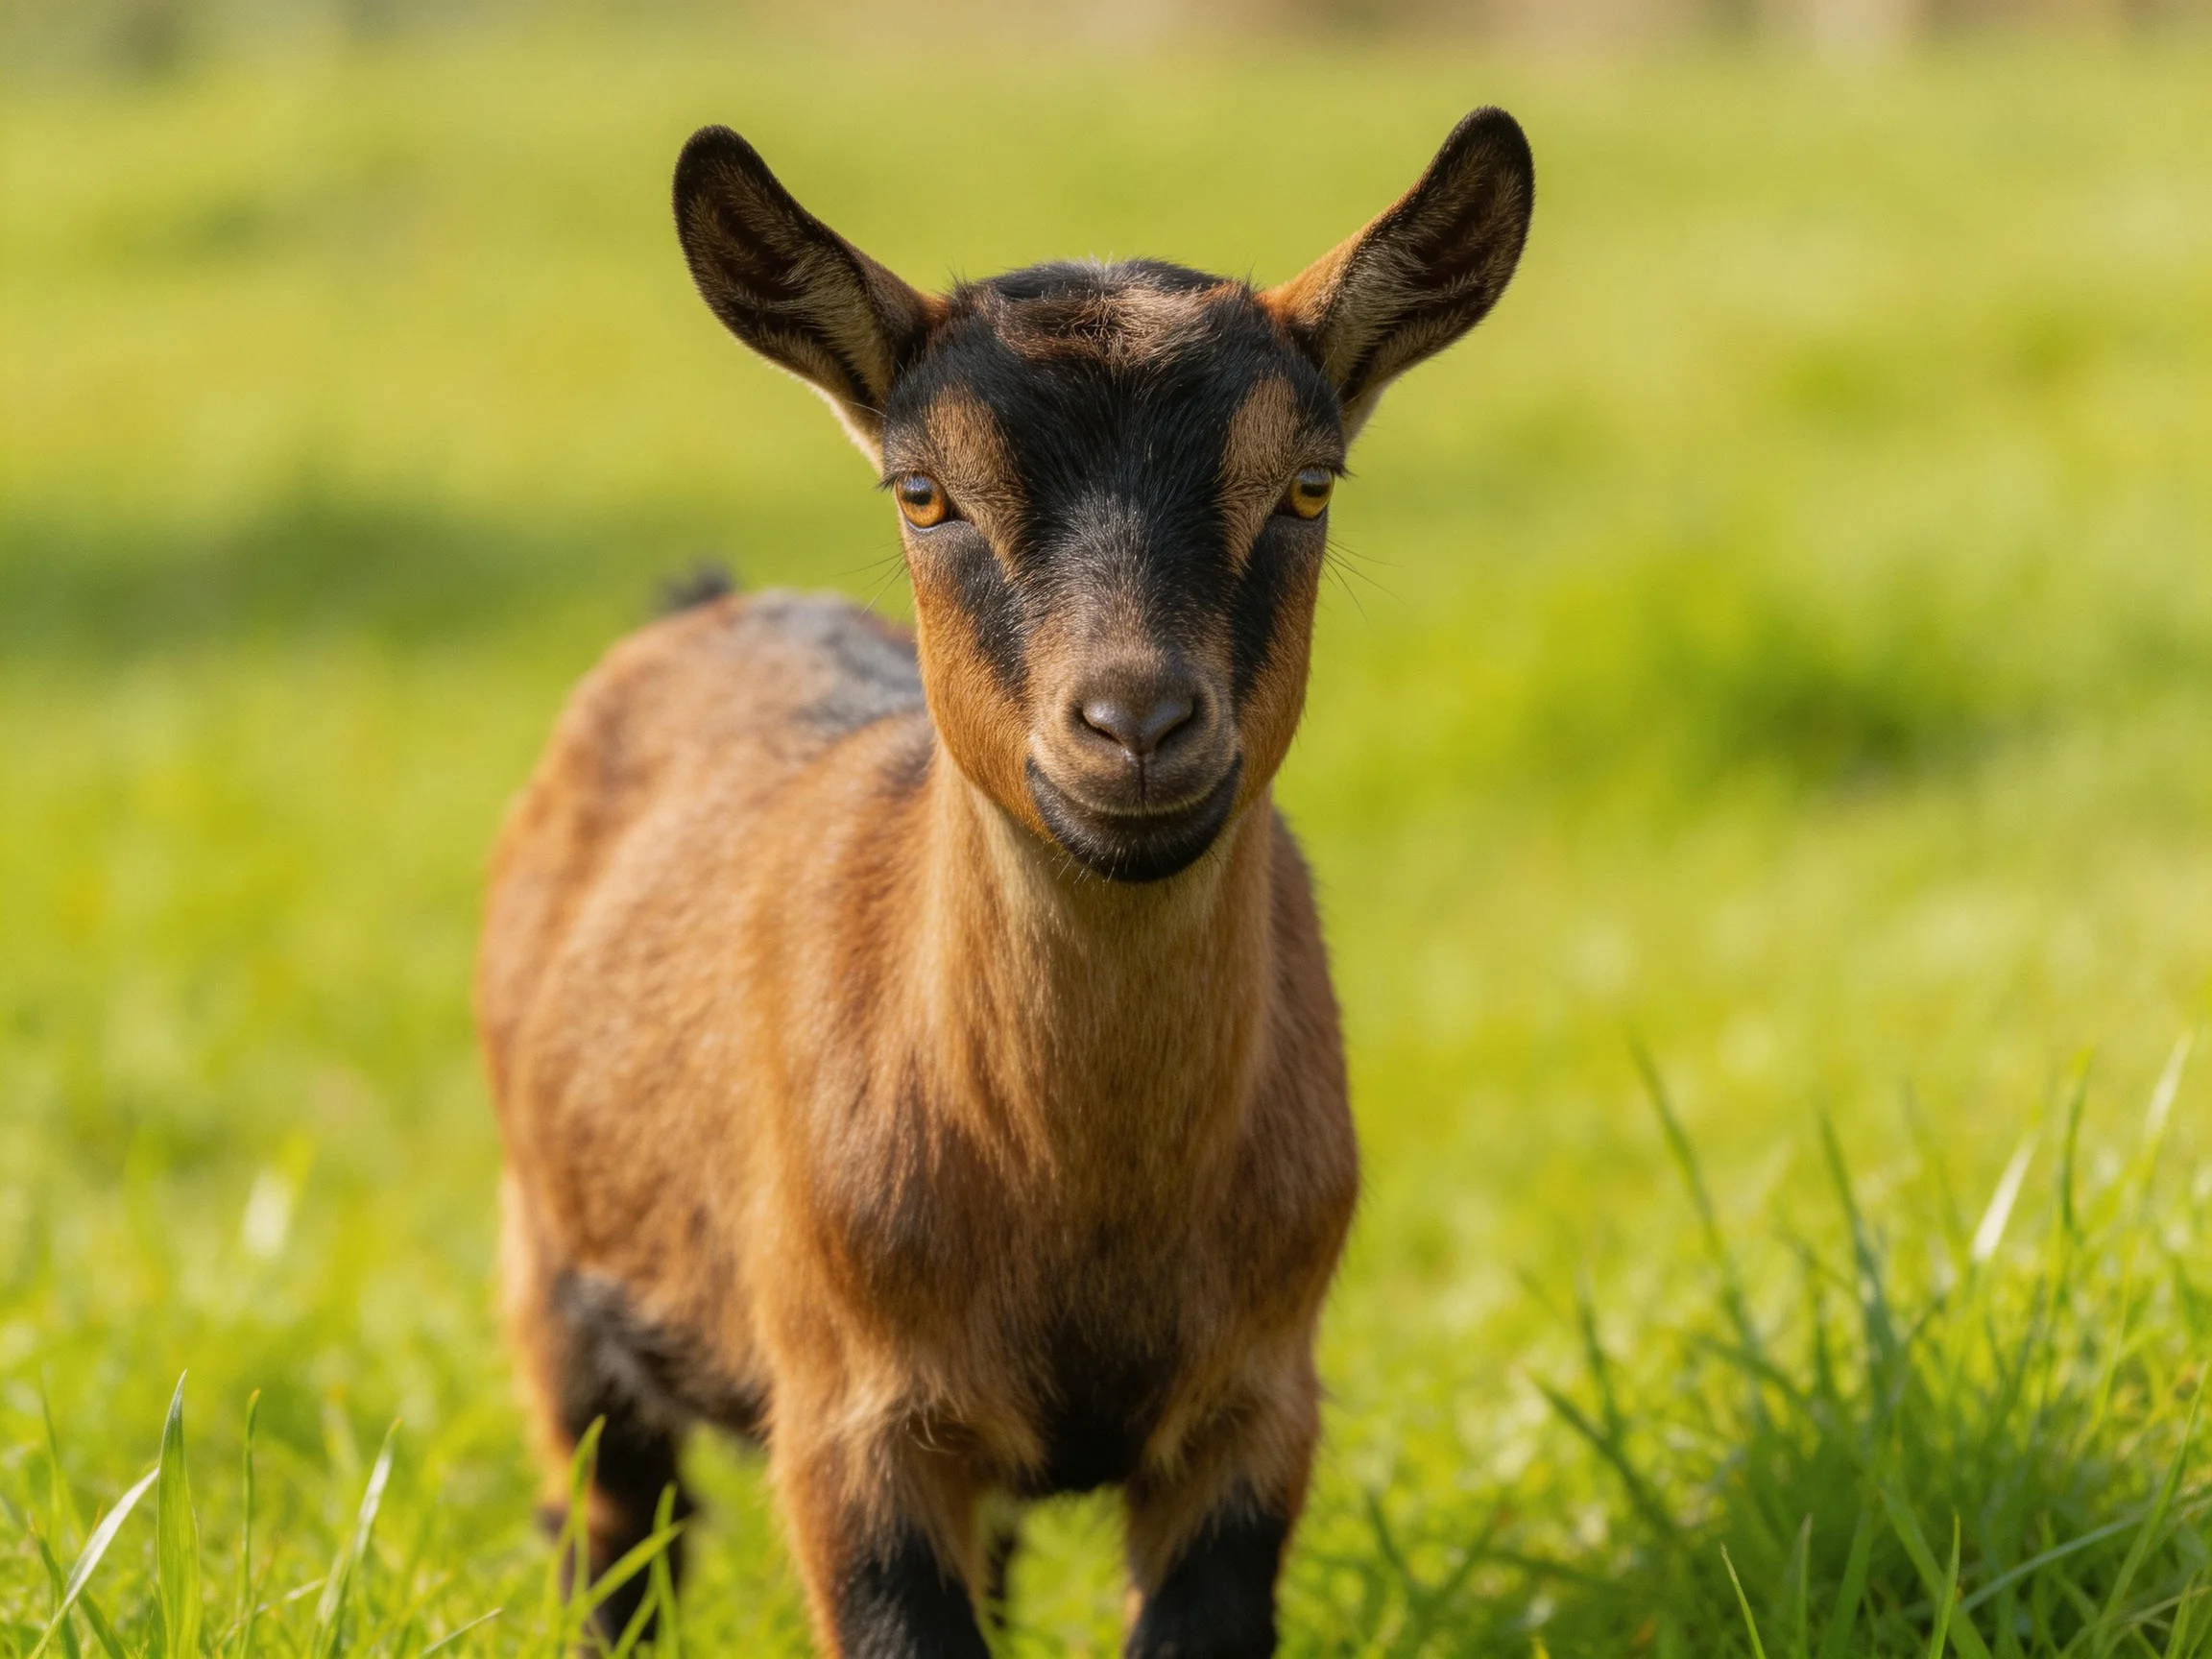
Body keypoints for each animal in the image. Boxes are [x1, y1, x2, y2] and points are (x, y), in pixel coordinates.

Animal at [478, 108, 1532, 1657]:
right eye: (925, 493)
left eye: (1308, 484)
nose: (1136, 723)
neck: (1081, 1206)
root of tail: (707, 605)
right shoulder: (851, 1421)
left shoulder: (1257, 1408)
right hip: (554, 1277)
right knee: (611, 1539)